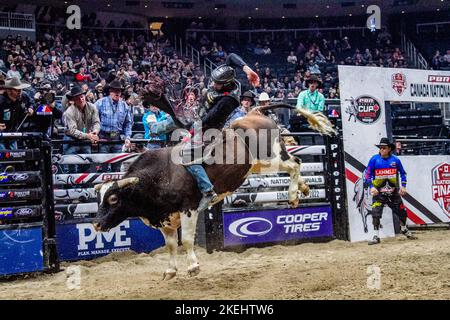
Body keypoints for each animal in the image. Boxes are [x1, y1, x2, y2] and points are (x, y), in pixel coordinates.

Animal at [93, 89, 336, 278]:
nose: (96, 224)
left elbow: (187, 240)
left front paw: (193, 267)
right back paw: (304, 188)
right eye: (99, 198)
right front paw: (170, 271)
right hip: (257, 165)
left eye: (113, 198)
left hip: (271, 157)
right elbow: (171, 245)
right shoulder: (165, 218)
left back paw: (293, 195)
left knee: (295, 164)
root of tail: (254, 112)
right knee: (295, 164)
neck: (158, 176)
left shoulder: (189, 208)